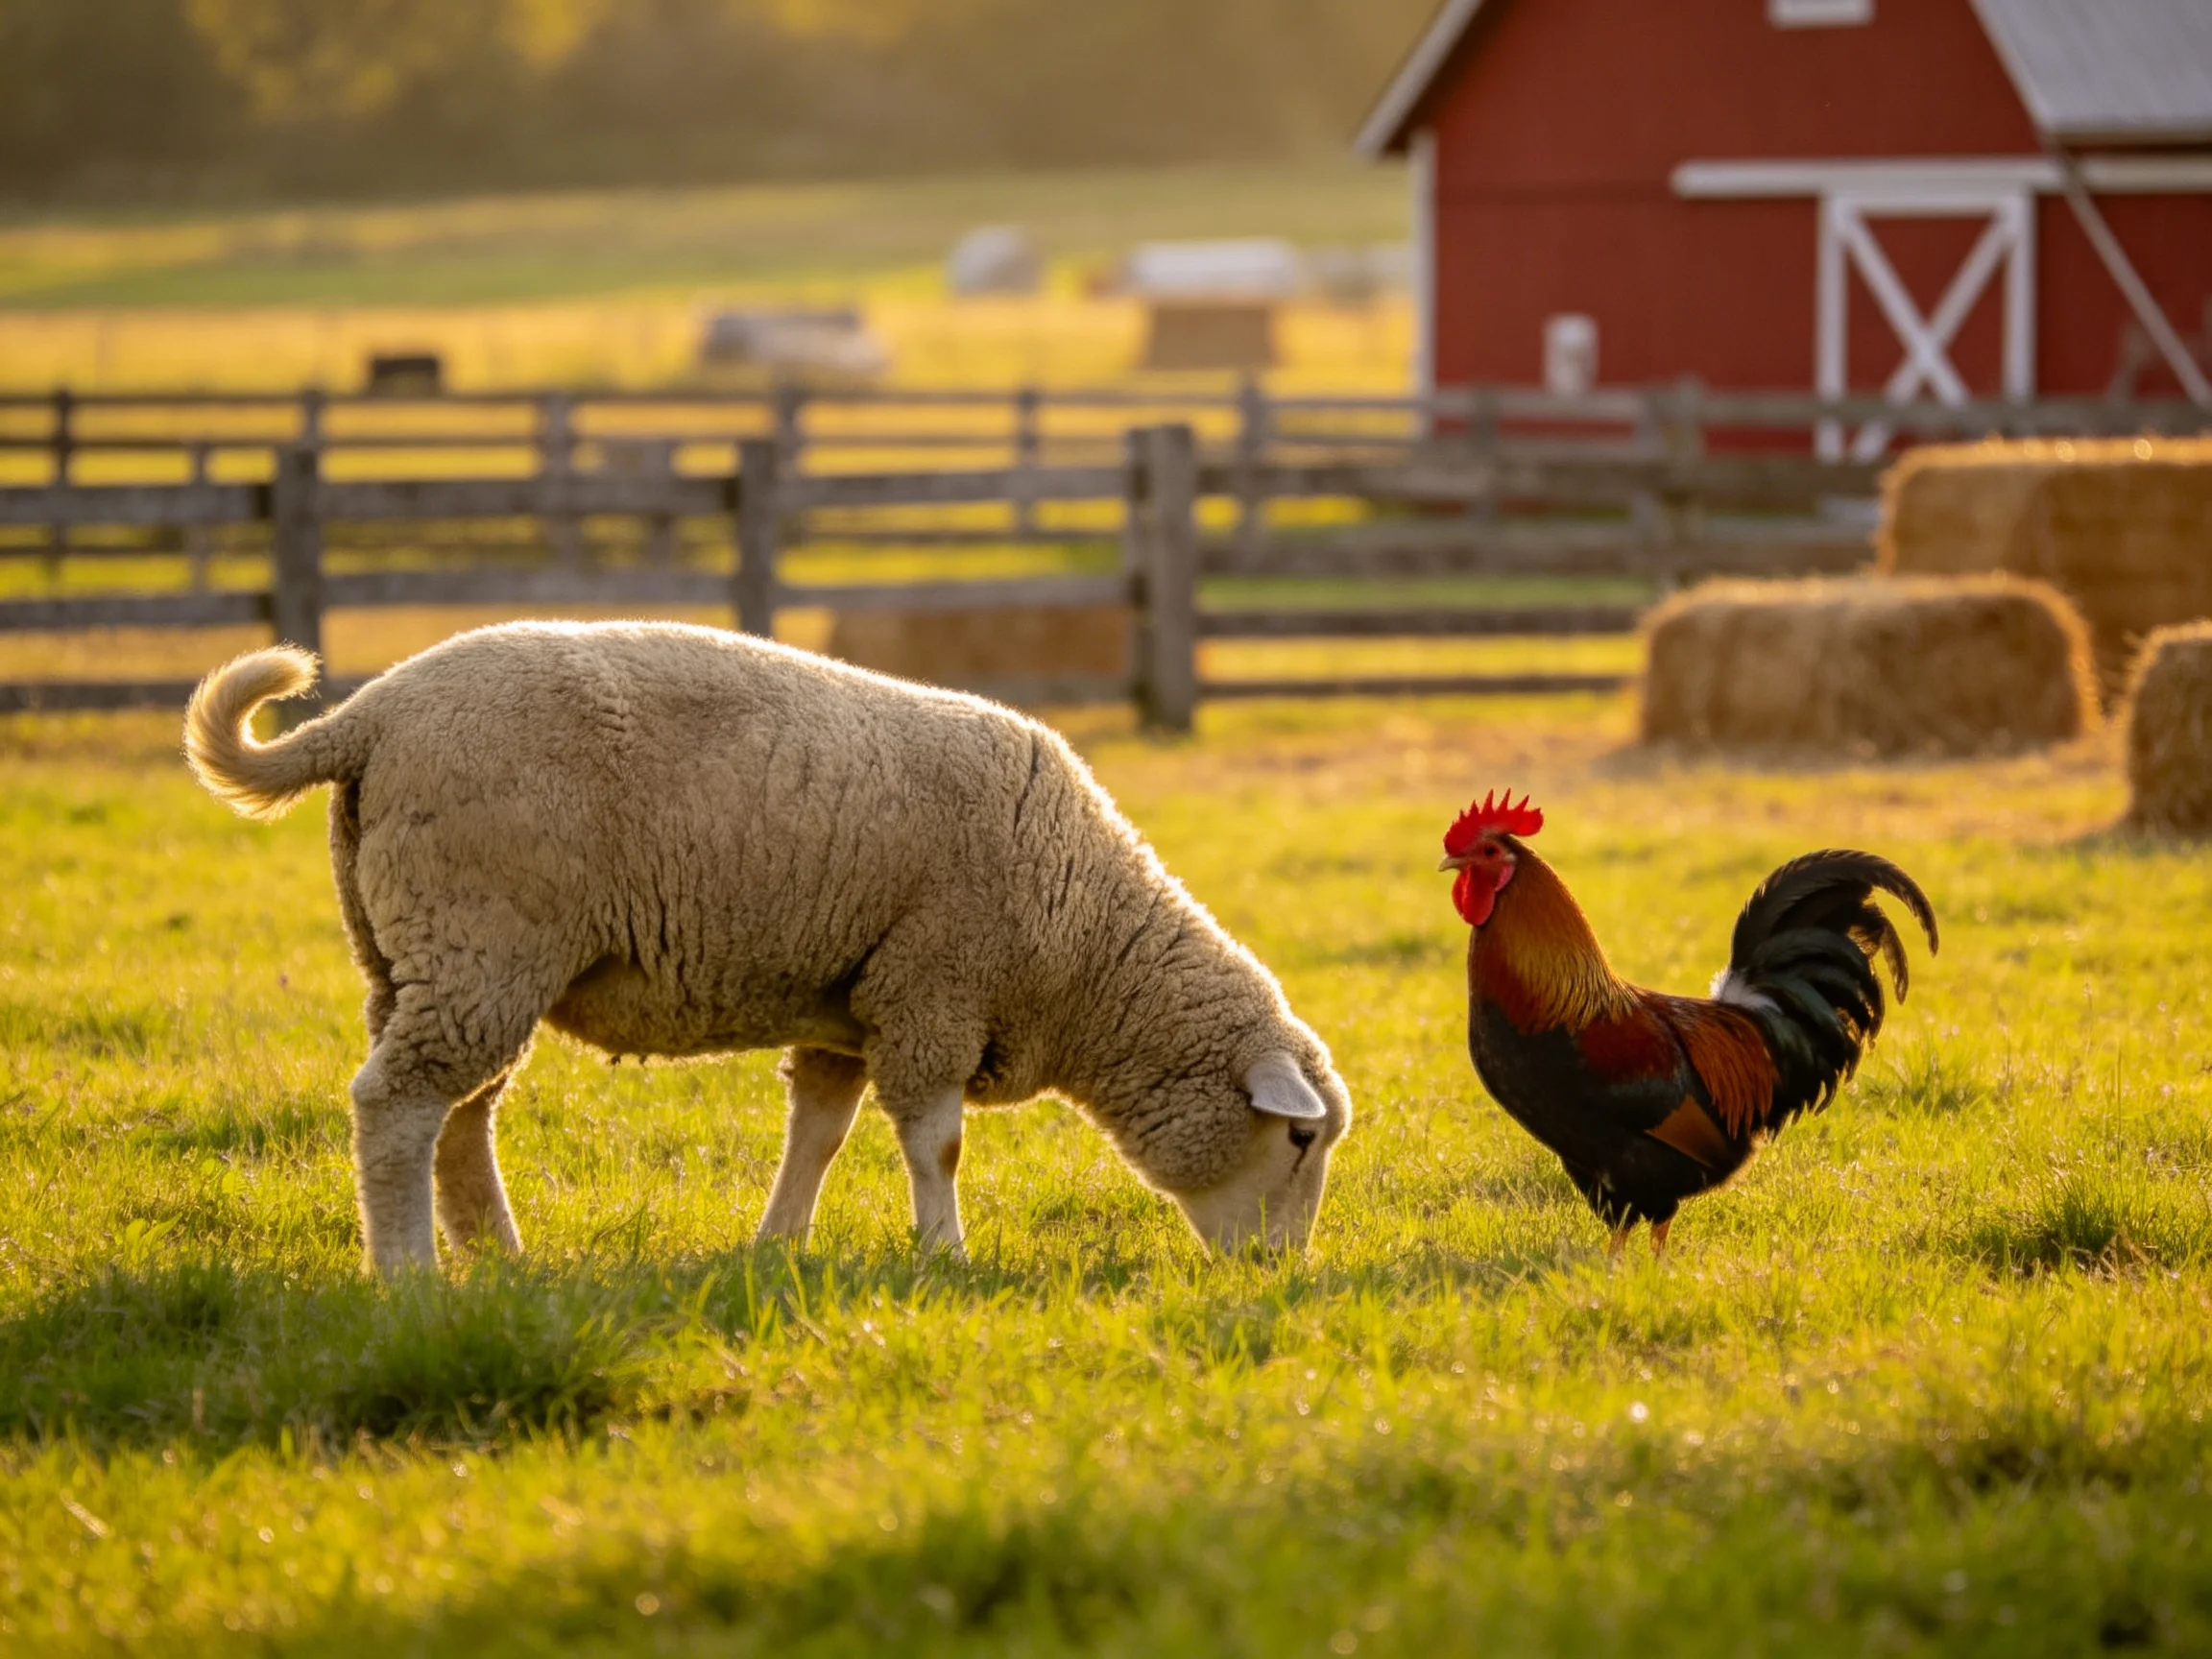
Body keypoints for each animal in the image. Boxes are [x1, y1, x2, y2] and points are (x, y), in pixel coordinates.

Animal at [184, 621, 1353, 1275]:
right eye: (1299, 1141)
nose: (1279, 1279)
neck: (1085, 943)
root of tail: (369, 717)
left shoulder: (854, 1003)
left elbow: (820, 1137)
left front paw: (778, 1246)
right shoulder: (934, 988)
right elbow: (937, 1146)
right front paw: (947, 1256)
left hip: (425, 955)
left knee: (459, 1114)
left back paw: (500, 1260)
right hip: (481, 937)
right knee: (396, 1105)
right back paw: (408, 1273)